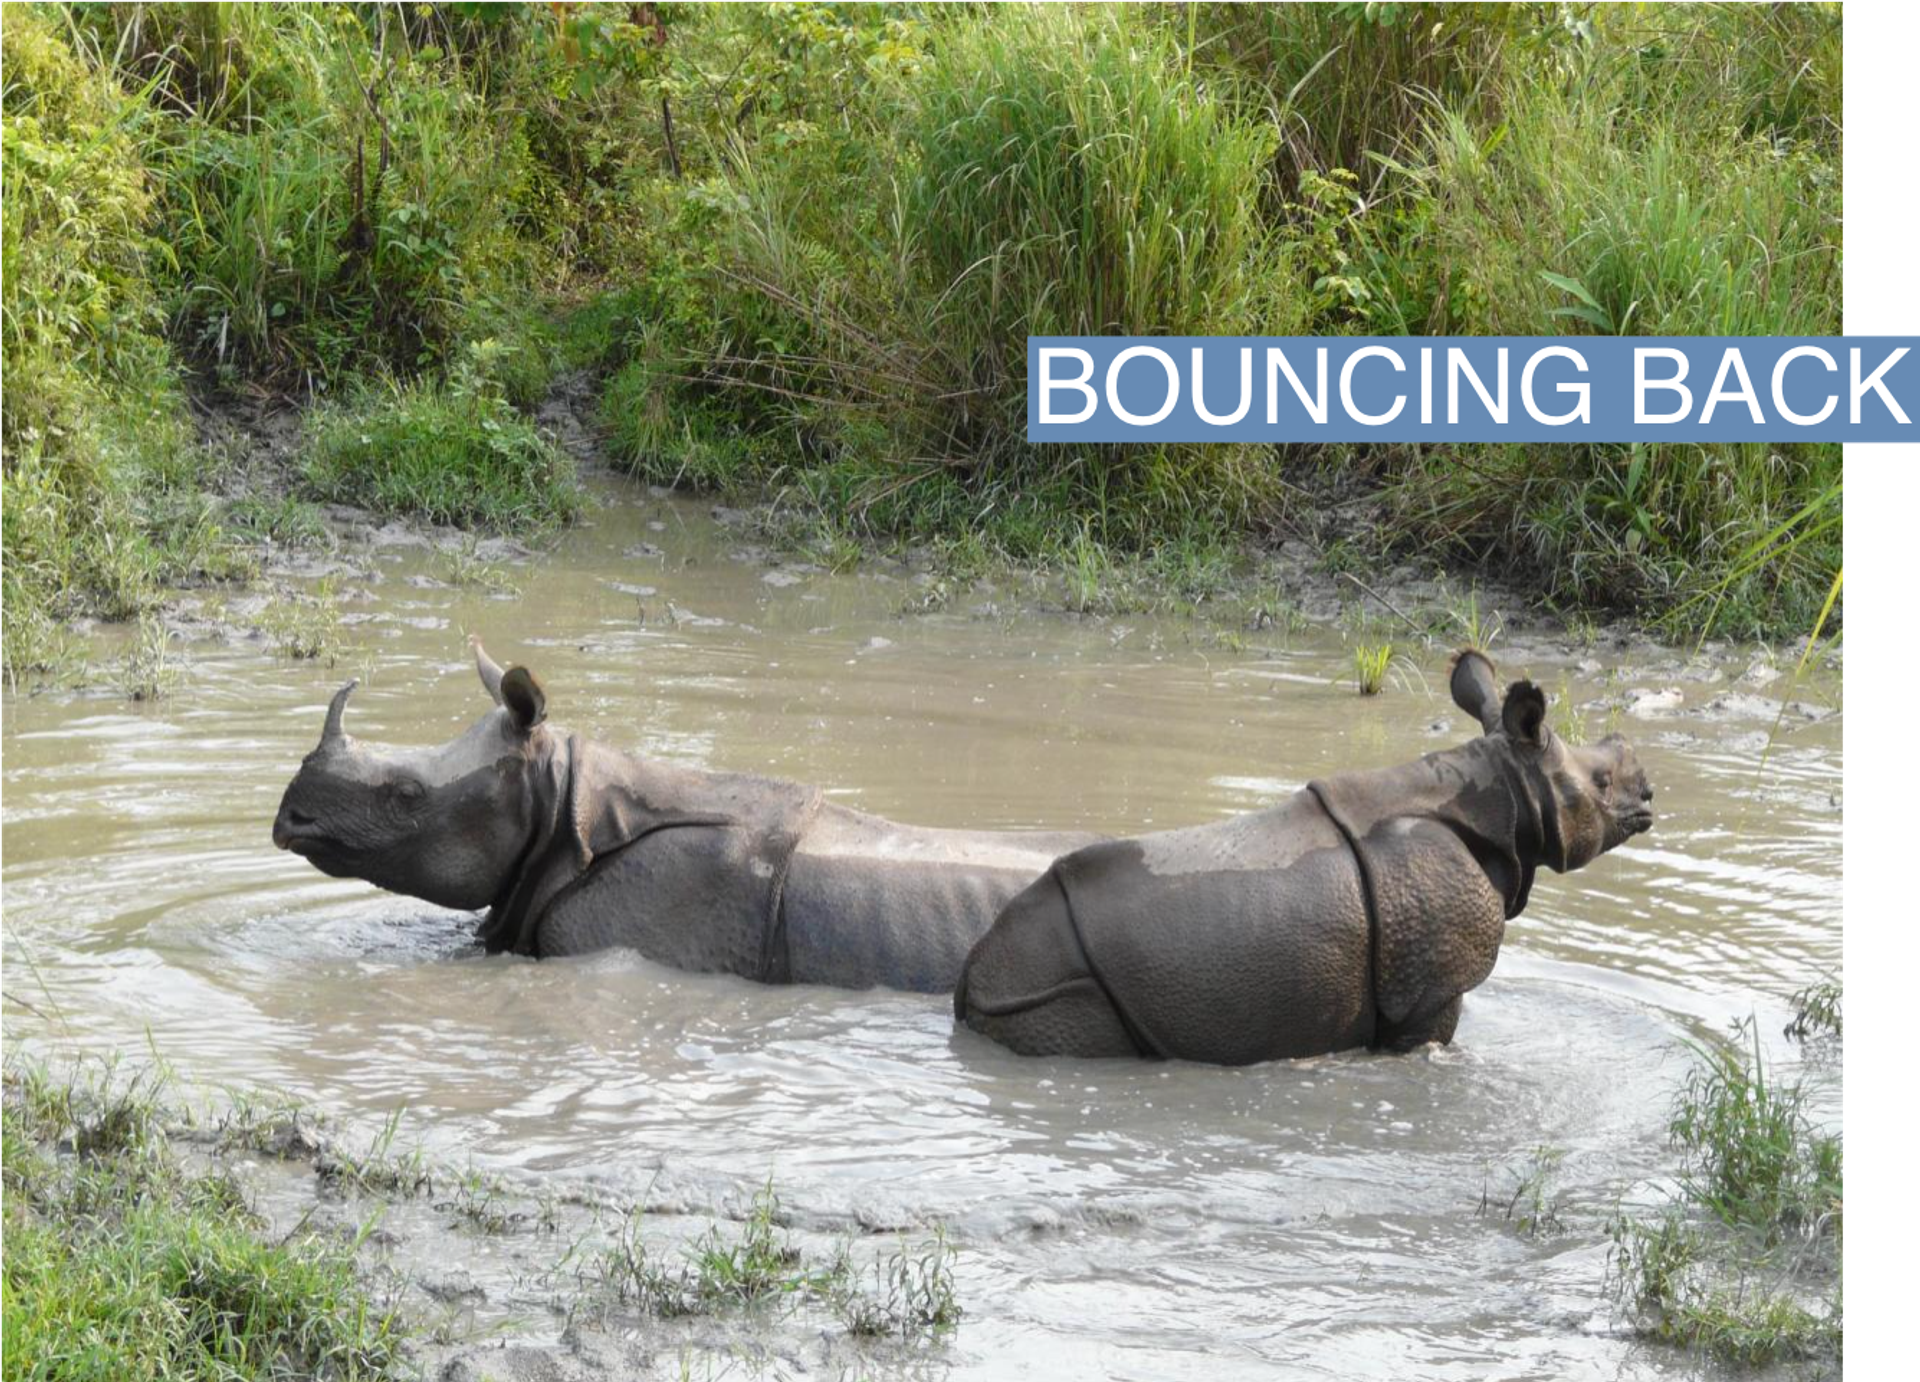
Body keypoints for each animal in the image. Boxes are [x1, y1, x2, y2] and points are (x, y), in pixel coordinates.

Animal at [952, 652, 1658, 1067]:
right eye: (1600, 783)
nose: (1650, 795)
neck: (1504, 792)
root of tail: (973, 980)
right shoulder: (1428, 988)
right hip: (1053, 993)